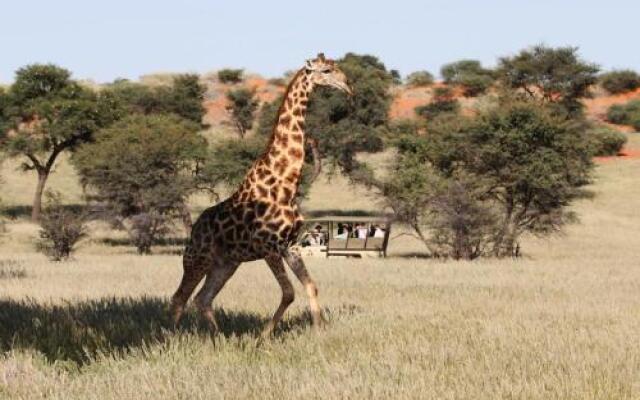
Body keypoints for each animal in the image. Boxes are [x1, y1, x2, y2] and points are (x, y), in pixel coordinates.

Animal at [170, 52, 350, 334]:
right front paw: (263, 335)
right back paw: (172, 335)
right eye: (327, 71)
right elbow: (288, 293)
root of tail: (195, 227)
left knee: (202, 298)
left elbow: (310, 286)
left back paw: (218, 336)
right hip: (197, 258)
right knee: (180, 297)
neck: (287, 184)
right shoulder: (269, 247)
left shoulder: (289, 245)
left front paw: (320, 329)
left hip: (226, 263)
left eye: (336, 67)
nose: (348, 85)